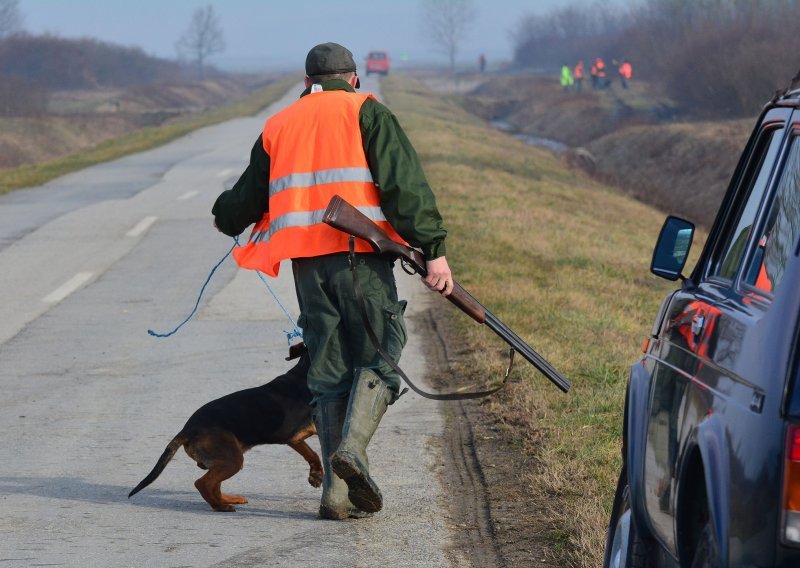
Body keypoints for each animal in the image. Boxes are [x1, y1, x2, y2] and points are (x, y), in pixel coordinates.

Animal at [128, 344, 322, 512]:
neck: (303, 374)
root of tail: (188, 429)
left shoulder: (301, 437)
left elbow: (313, 454)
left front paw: (316, 474)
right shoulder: (295, 437)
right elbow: (313, 453)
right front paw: (316, 474)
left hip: (226, 457)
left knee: (214, 485)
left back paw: (227, 499)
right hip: (232, 459)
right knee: (203, 483)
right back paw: (220, 506)